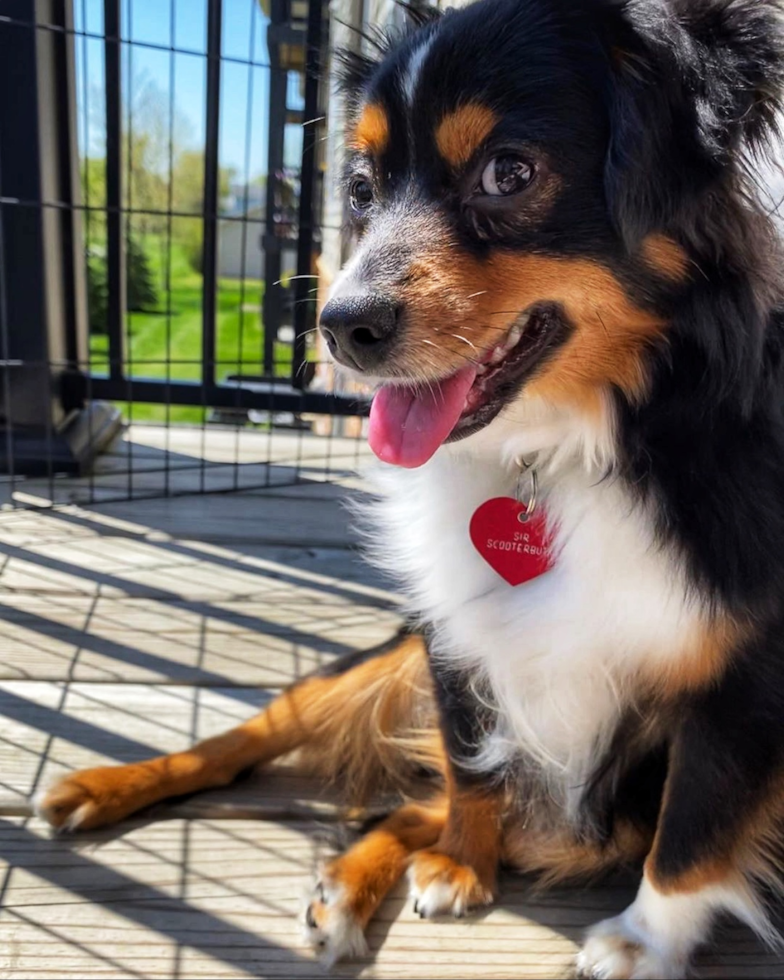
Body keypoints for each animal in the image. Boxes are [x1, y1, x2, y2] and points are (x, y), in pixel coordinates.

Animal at [35, 3, 784, 976]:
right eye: (360, 187)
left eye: (510, 172)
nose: (337, 327)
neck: (567, 446)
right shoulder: (453, 629)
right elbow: (470, 767)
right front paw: (463, 862)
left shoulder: (744, 678)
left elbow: (693, 824)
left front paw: (640, 942)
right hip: (381, 658)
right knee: (257, 734)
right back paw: (111, 786)